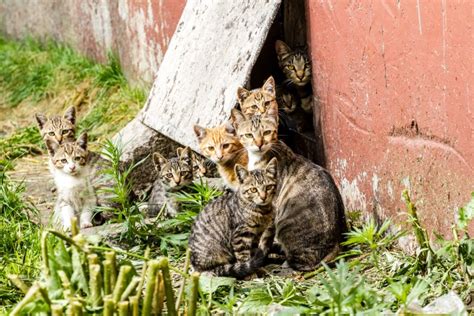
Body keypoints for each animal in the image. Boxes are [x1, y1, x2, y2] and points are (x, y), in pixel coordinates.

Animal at [231, 107, 346, 270]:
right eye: (249, 135)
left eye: (266, 132)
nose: (259, 144)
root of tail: (336, 244)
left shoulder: (269, 210)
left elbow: (263, 238)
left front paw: (259, 255)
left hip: (286, 227)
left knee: (304, 262)